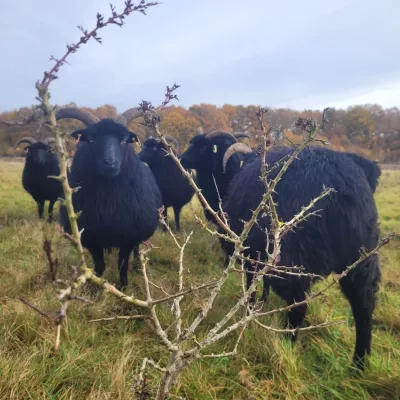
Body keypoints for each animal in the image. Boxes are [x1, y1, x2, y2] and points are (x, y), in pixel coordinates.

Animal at [56, 106, 162, 288]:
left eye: (125, 140)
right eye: (91, 139)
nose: (110, 164)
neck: (109, 199)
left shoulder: (128, 236)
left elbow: (122, 265)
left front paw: (124, 288)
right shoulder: (91, 238)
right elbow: (99, 266)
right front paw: (96, 287)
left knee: (136, 250)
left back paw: (137, 266)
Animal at [222, 145, 382, 370]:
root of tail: (340, 185)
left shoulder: (251, 258)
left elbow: (251, 287)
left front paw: (250, 313)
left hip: (292, 258)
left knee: (298, 306)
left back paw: (286, 347)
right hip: (362, 256)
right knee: (364, 306)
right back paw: (358, 365)